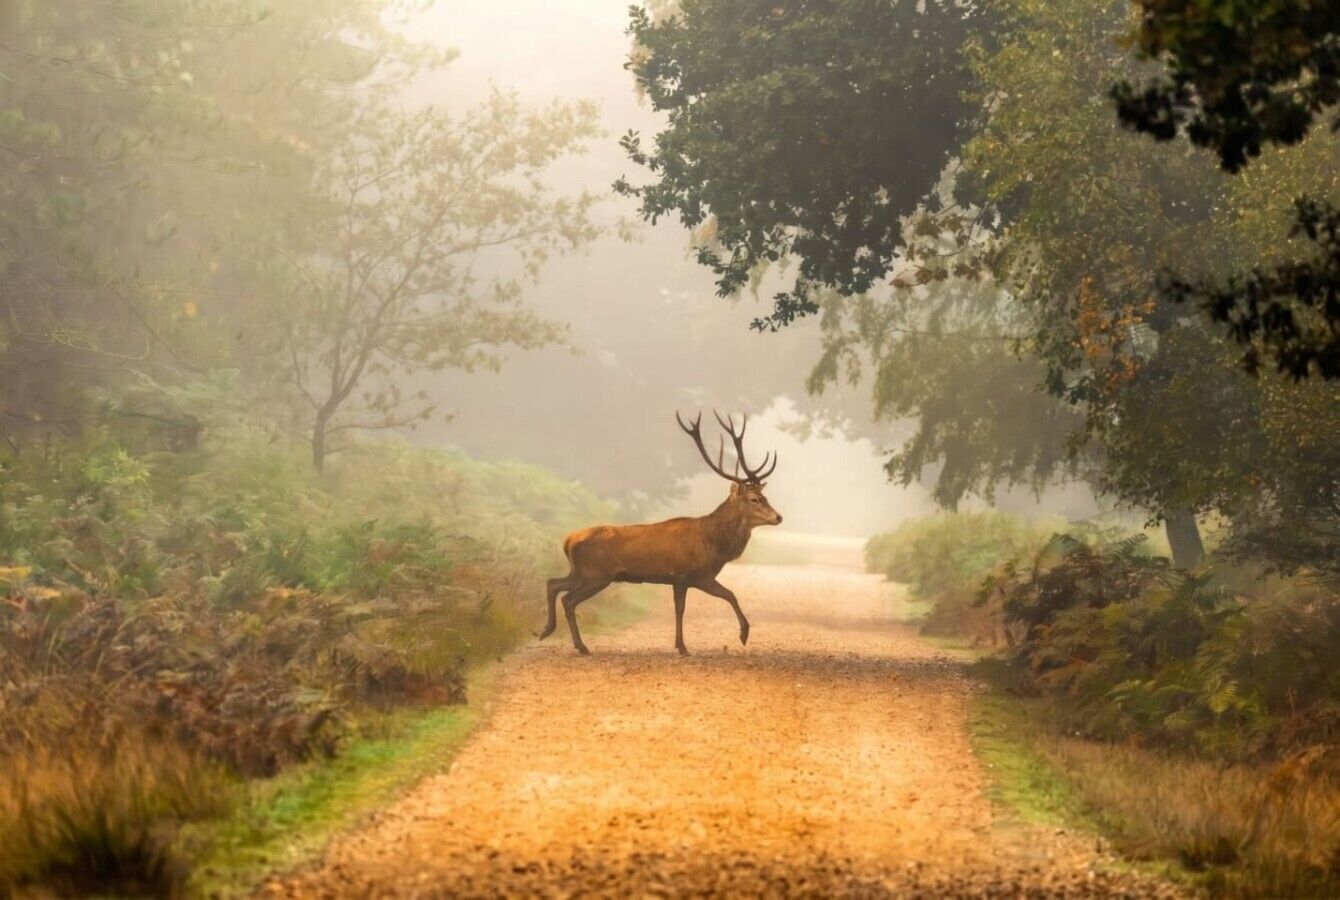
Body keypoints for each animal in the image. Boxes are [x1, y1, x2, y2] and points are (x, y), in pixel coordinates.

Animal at [538, 411, 782, 656]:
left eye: (766, 497)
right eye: (754, 499)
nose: (778, 517)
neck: (714, 545)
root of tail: (568, 540)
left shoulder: (696, 578)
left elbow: (720, 597)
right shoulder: (687, 575)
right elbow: (694, 605)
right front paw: (697, 643)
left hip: (581, 572)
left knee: (553, 583)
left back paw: (547, 630)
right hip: (596, 574)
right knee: (568, 599)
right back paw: (579, 645)